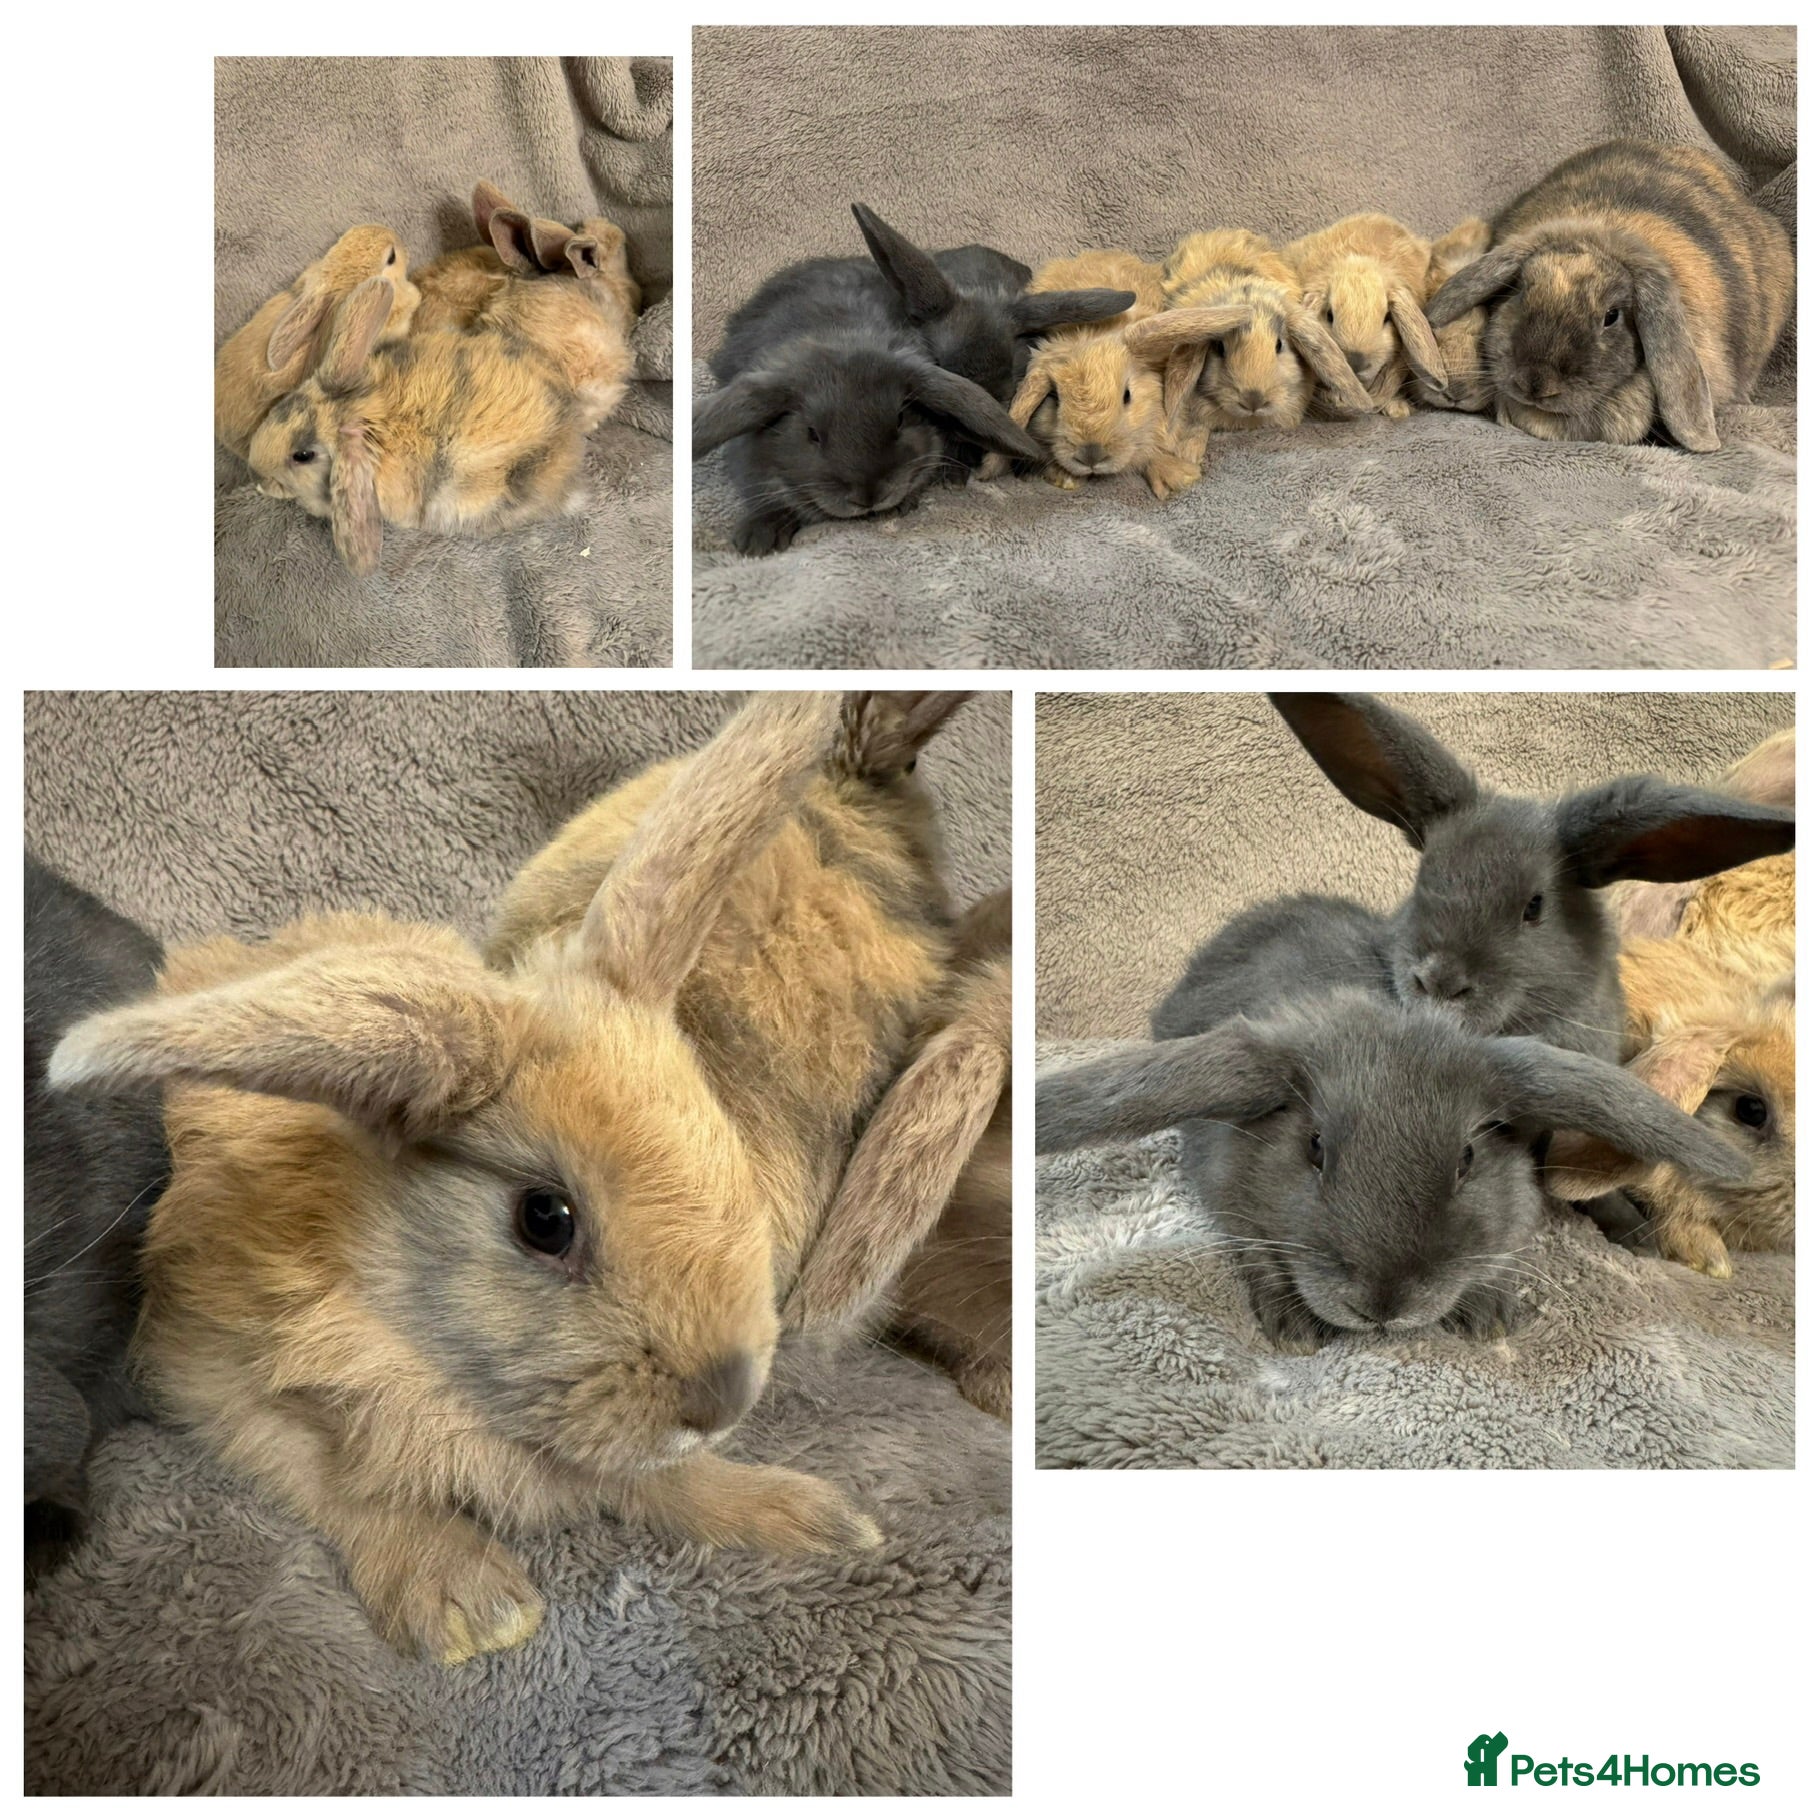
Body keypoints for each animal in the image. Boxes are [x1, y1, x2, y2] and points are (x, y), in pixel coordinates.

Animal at [49, 692, 973, 1664]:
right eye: (546, 1219)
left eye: (720, 1141)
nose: (719, 1400)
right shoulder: (210, 1374)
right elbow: (346, 1484)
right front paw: (472, 1605)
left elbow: (668, 1481)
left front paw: (812, 1518)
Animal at [1038, 985, 1747, 1350]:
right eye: (1314, 1147)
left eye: (1467, 1159)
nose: (1382, 1307)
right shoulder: (1232, 1196)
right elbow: (1259, 1250)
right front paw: (1294, 1328)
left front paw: (1489, 1315)